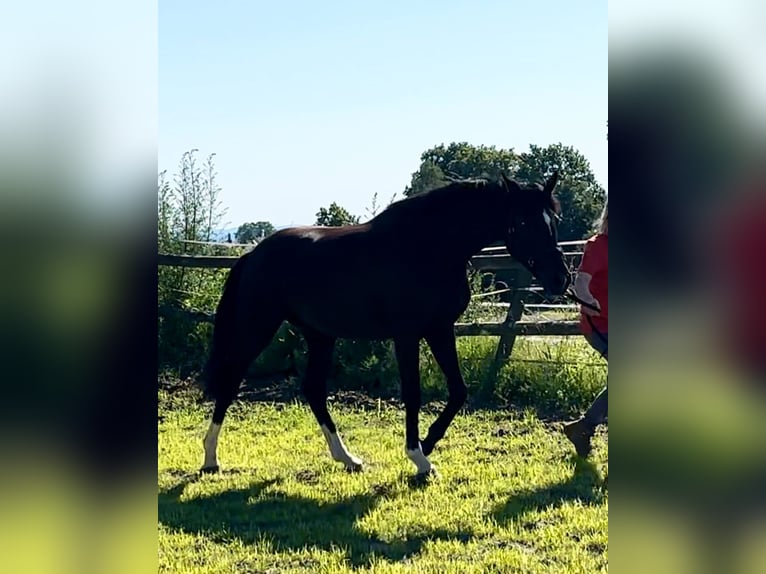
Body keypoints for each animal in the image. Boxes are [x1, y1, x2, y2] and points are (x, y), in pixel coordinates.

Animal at [201, 173, 572, 480]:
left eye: (553, 220)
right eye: (521, 221)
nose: (560, 279)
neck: (430, 247)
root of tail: (253, 255)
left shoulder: (440, 329)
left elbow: (458, 391)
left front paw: (428, 443)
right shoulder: (407, 335)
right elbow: (413, 393)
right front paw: (419, 458)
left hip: (319, 335)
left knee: (314, 390)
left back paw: (348, 458)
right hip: (258, 325)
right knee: (231, 380)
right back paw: (210, 459)